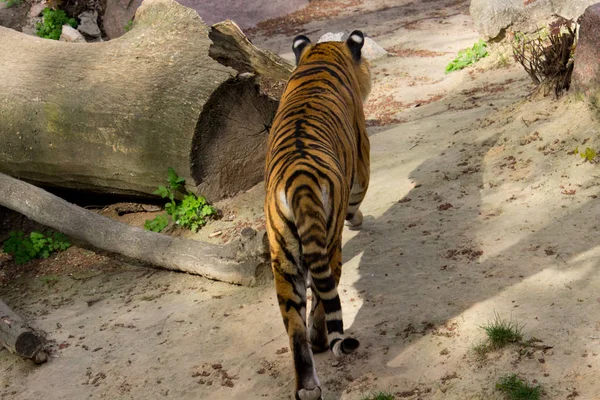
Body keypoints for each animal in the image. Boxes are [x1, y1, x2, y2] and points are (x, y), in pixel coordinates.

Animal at [266, 31, 372, 400]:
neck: (320, 58)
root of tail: (299, 180)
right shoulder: (363, 157)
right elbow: (358, 196)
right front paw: (358, 220)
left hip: (283, 260)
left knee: (295, 328)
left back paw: (308, 387)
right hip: (328, 243)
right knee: (323, 301)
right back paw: (322, 340)